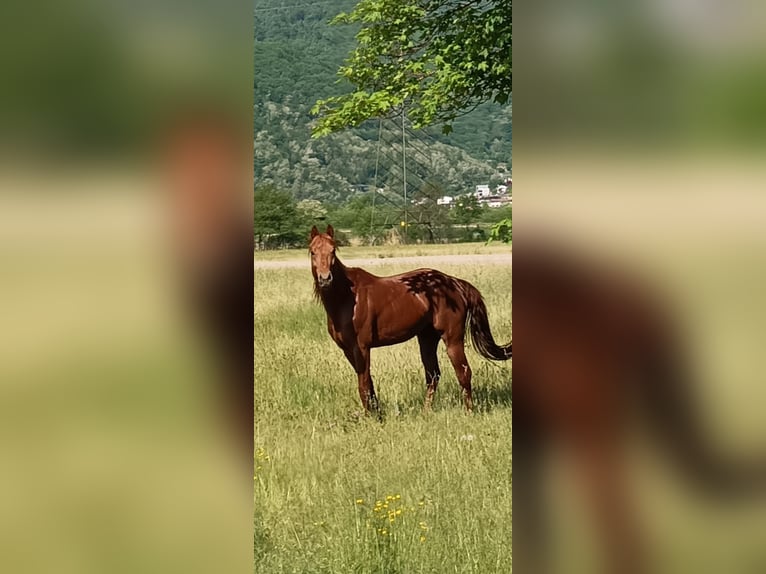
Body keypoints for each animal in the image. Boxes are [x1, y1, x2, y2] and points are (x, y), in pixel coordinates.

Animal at [308, 224, 511, 413]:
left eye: (333, 250)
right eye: (312, 251)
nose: (325, 279)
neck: (349, 299)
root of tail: (454, 283)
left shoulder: (363, 348)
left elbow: (364, 385)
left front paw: (371, 417)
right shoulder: (349, 350)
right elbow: (368, 385)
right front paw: (376, 414)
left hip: (452, 339)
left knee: (463, 372)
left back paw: (469, 411)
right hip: (427, 338)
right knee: (433, 375)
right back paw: (426, 411)